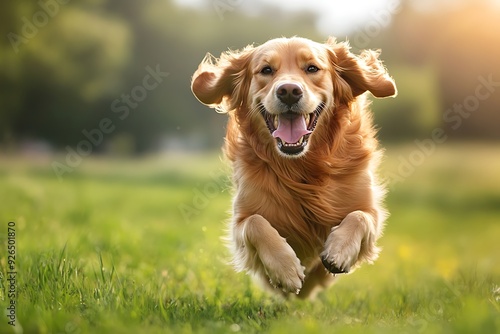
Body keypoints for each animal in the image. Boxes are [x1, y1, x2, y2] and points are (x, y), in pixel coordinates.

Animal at [189, 37, 396, 300]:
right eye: (266, 70)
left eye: (312, 68)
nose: (288, 91)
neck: (301, 168)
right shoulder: (240, 222)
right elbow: (255, 223)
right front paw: (285, 269)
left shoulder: (369, 208)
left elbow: (360, 216)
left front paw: (339, 252)